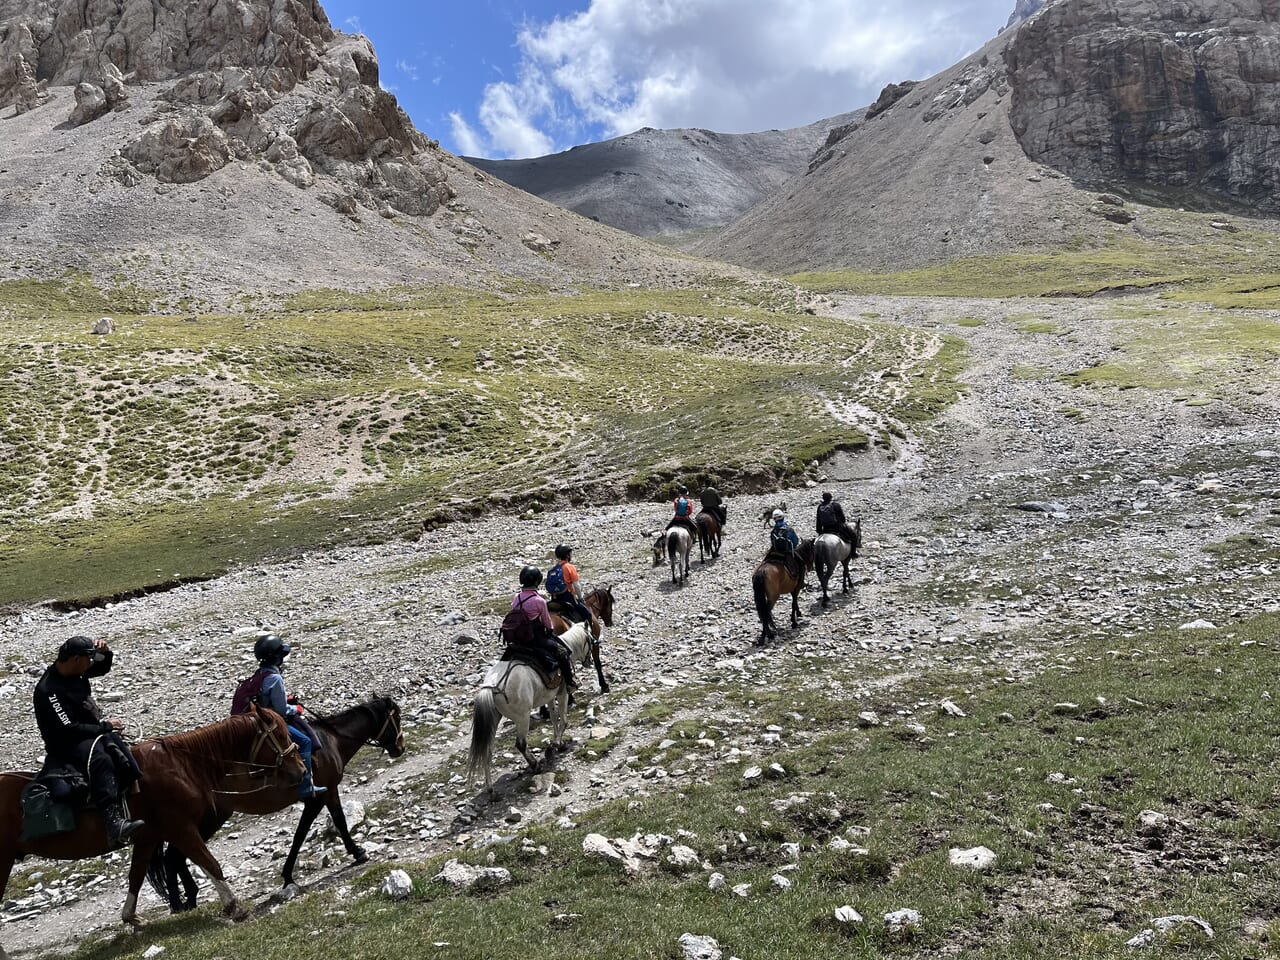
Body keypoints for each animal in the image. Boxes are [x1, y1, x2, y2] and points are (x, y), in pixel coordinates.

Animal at [0, 701, 302, 942]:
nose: (300, 768)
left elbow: (136, 876)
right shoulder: (181, 830)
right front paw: (235, 908)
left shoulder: (148, 837)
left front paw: (132, 919)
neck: (180, 765)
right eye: (279, 733)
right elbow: (210, 863)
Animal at [140, 696, 401, 911]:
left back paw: (187, 900)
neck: (332, 740)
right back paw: (182, 902)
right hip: (206, 820)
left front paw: (287, 875)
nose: (400, 747)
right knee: (174, 856)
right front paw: (357, 852)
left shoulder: (313, 800)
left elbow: (300, 833)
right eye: (397, 717)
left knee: (176, 856)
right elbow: (337, 821)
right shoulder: (325, 793)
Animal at [468, 624, 591, 798]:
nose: (589, 661)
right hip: (522, 717)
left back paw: (491, 790)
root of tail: (492, 686)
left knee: (488, 751)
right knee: (521, 744)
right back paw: (534, 765)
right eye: (590, 639)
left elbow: (553, 718)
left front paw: (556, 742)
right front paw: (557, 745)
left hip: (494, 720)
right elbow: (564, 720)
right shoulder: (562, 693)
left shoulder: (549, 696)